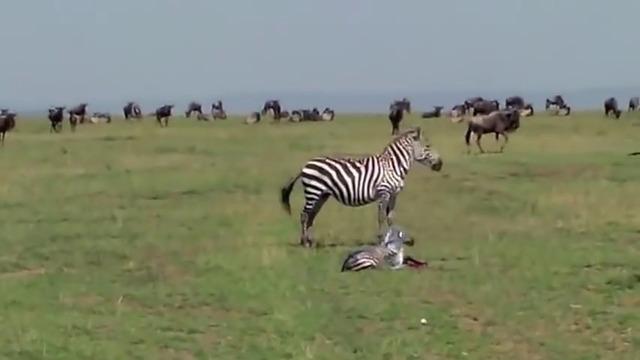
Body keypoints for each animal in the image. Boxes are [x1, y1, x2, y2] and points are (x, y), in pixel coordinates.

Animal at [282, 126, 442, 248]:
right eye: (428, 146)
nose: (440, 164)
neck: (393, 166)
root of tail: (305, 165)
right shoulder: (384, 192)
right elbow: (381, 217)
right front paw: (382, 240)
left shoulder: (394, 195)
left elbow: (390, 218)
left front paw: (392, 240)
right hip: (313, 191)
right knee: (304, 215)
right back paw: (304, 243)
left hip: (322, 195)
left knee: (311, 216)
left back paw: (311, 242)